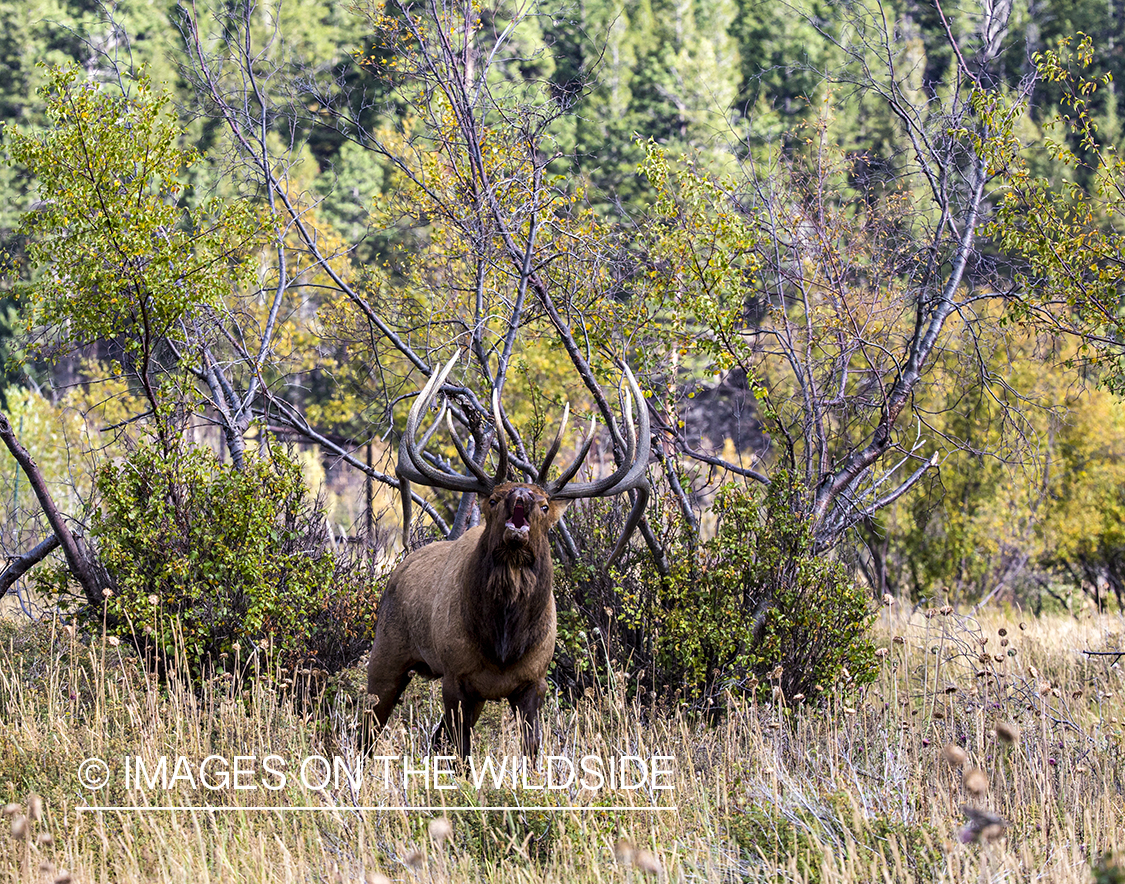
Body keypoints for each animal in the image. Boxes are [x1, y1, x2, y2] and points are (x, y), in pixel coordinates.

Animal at [366, 355, 652, 755]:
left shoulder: (533, 682)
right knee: (368, 727)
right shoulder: (456, 678)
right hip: (387, 651)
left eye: (545, 504)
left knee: (432, 739)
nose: (521, 495)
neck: (503, 644)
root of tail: (401, 565)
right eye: (494, 499)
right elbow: (461, 753)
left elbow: (531, 749)